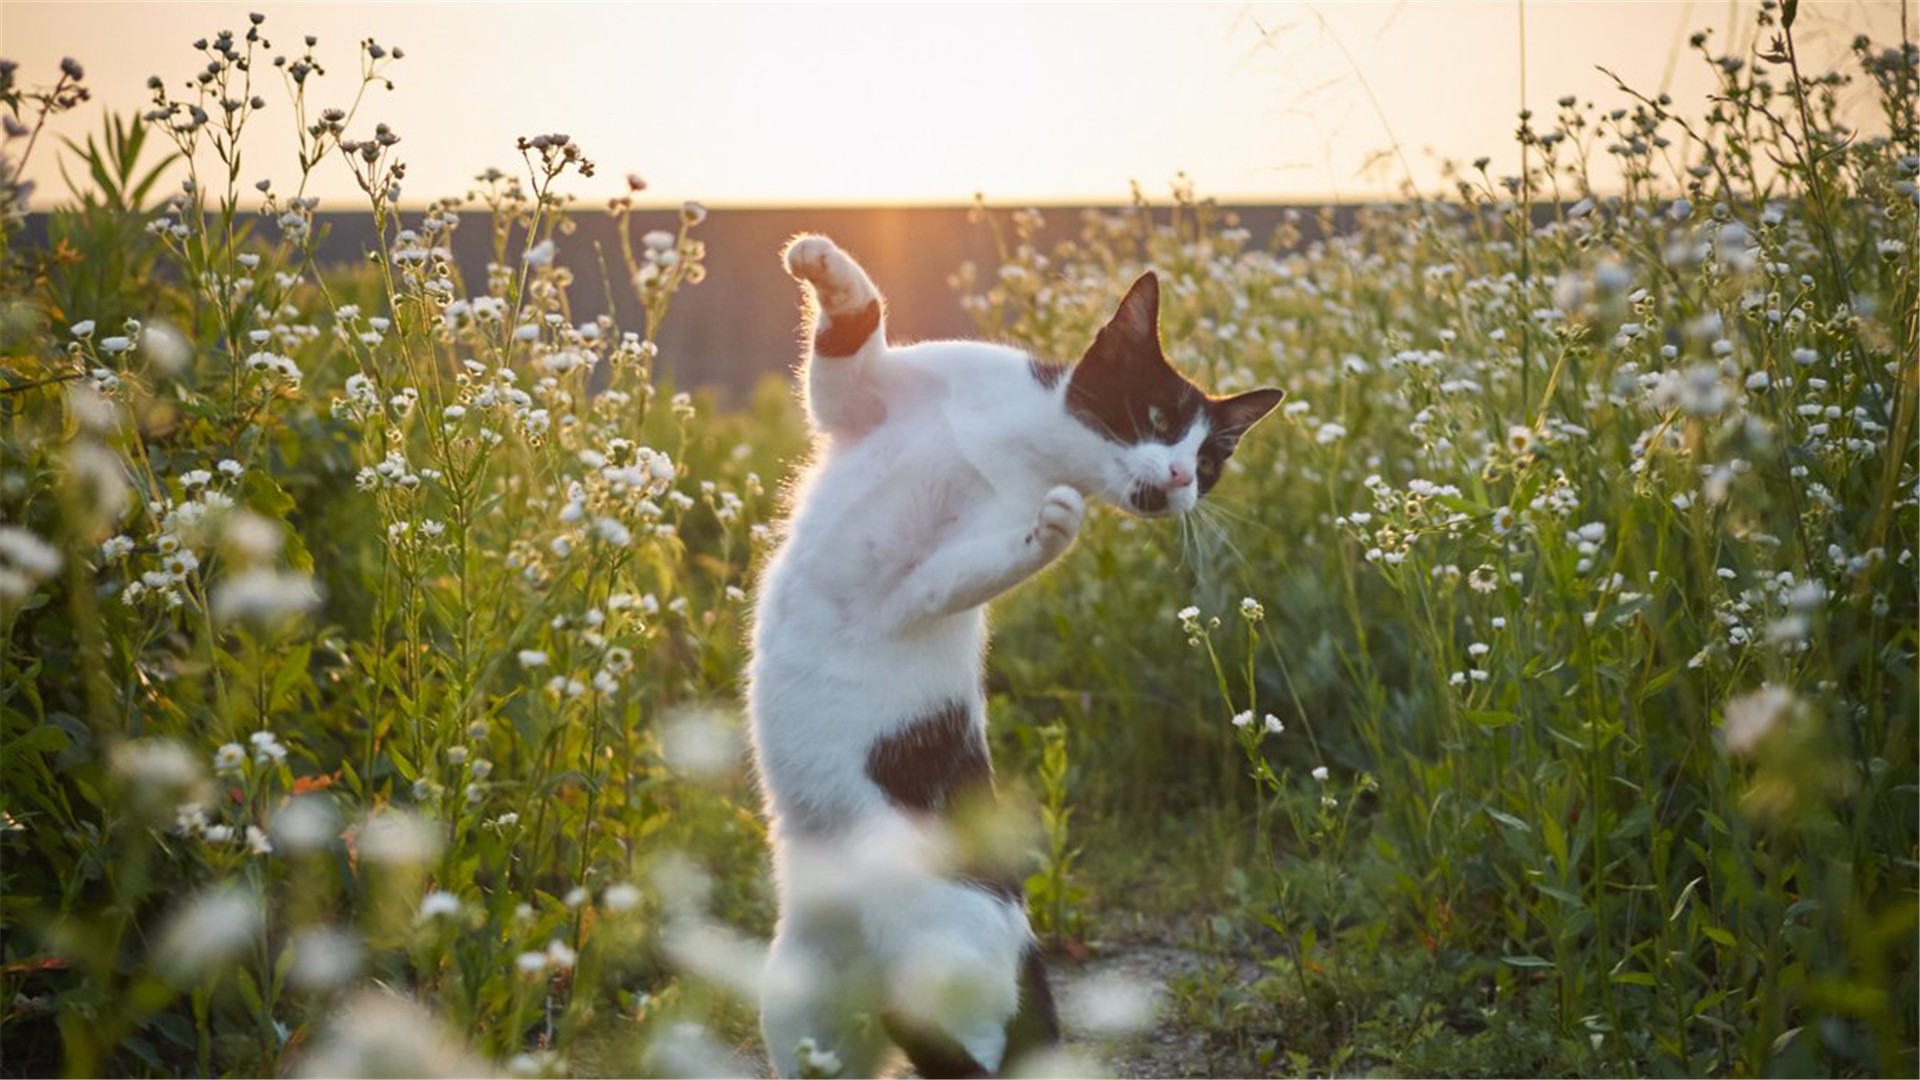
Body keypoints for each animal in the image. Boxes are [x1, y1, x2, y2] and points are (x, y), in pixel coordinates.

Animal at [741, 231, 1282, 1068]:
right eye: (1160, 415)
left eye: (1212, 461)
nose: (1181, 476)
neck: (1007, 440)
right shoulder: (861, 400)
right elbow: (855, 328)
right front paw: (821, 260)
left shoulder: (924, 588)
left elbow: (990, 559)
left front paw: (1057, 527)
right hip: (797, 997)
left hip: (945, 968)